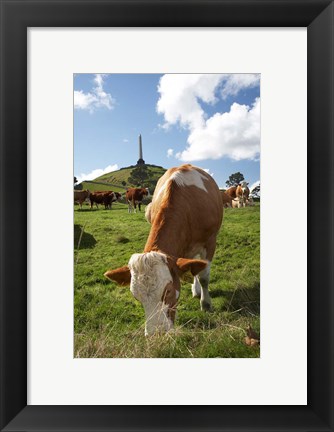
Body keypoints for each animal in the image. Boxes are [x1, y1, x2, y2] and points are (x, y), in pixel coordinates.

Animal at [104, 164, 224, 336]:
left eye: (168, 291)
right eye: (136, 296)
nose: (157, 334)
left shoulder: (210, 242)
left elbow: (204, 277)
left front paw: (206, 304)